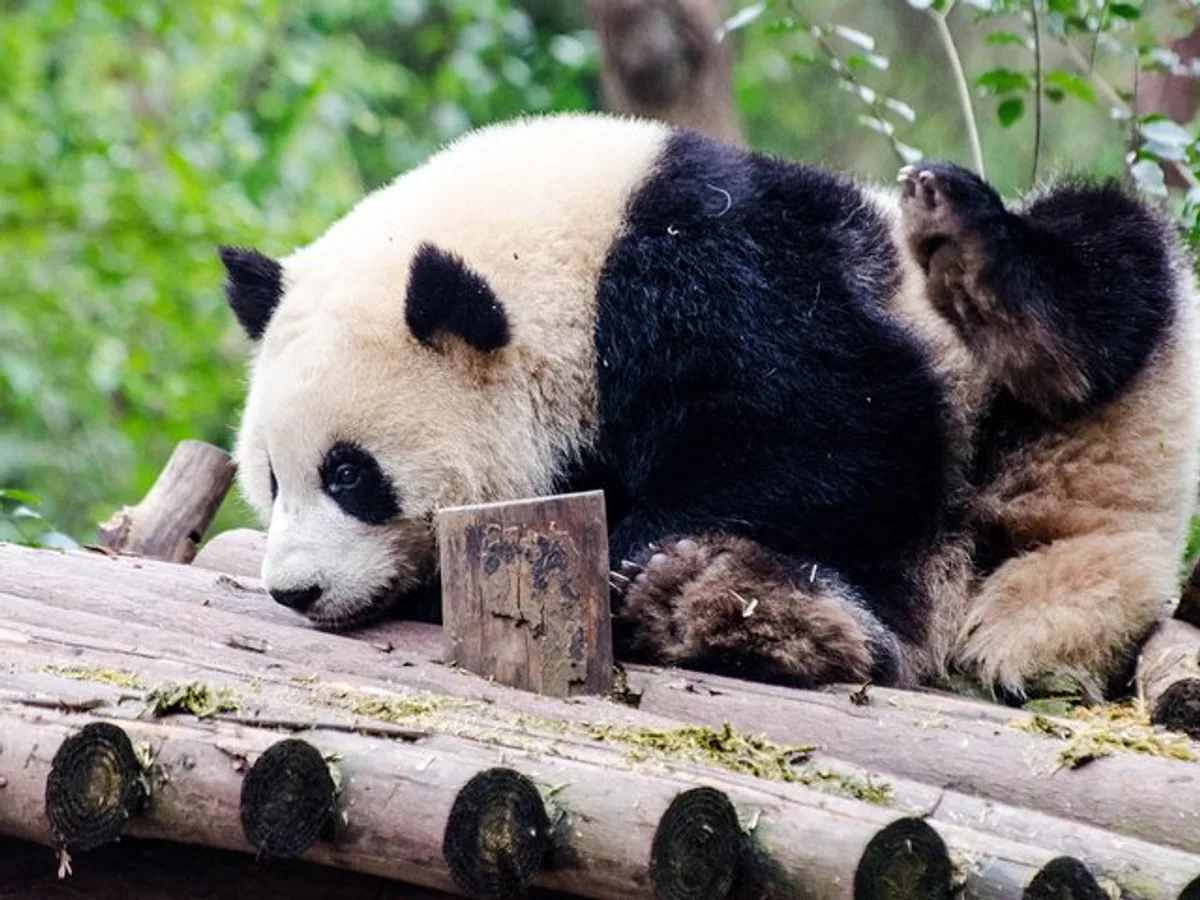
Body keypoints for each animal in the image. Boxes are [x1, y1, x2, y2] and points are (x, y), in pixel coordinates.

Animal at [219, 112, 1200, 701]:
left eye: (351, 475)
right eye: (270, 480)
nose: (296, 590)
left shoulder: (715, 267)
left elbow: (846, 430)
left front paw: (640, 540)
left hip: (1086, 389)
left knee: (1105, 269)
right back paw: (725, 606)